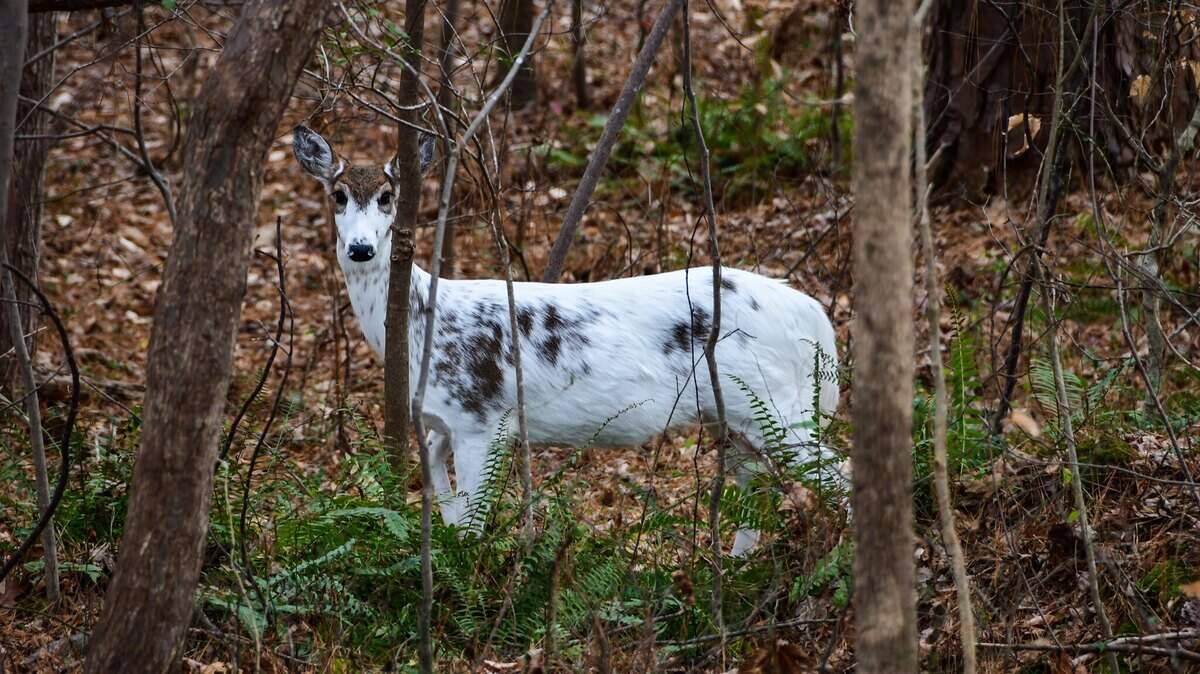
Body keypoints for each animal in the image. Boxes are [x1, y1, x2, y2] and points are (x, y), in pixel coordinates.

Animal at [292, 125, 839, 555]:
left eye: (387, 196)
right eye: (338, 194)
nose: (361, 248)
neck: (426, 326)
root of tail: (811, 312)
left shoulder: (481, 416)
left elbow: (471, 523)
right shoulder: (443, 421)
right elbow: (445, 503)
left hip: (776, 402)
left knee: (836, 473)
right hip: (742, 416)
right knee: (755, 489)